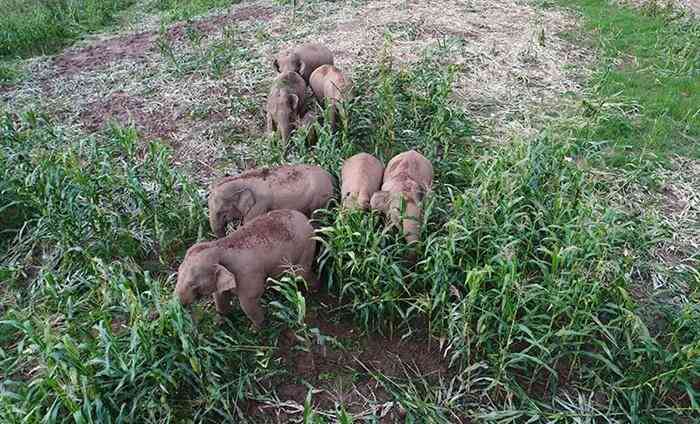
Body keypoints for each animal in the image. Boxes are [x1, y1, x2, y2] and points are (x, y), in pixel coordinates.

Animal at [175, 209, 320, 328]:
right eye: (178, 273)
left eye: (193, 284)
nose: (177, 311)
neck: (218, 246)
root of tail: (307, 219)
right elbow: (220, 296)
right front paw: (219, 321)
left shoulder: (247, 276)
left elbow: (247, 303)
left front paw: (256, 329)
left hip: (306, 246)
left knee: (301, 273)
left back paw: (313, 289)